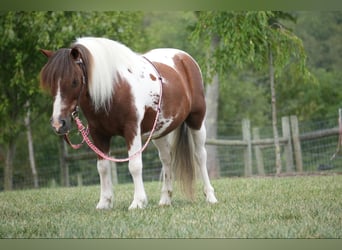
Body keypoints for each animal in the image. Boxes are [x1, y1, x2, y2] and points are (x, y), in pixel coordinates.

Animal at [39, 37, 216, 209]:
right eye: (51, 83)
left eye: (74, 81)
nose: (58, 123)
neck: (114, 88)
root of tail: (184, 57)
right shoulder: (98, 134)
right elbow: (102, 167)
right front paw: (104, 202)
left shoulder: (132, 130)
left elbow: (135, 166)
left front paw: (138, 202)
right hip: (158, 131)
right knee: (166, 159)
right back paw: (165, 199)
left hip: (196, 121)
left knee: (200, 156)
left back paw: (210, 196)